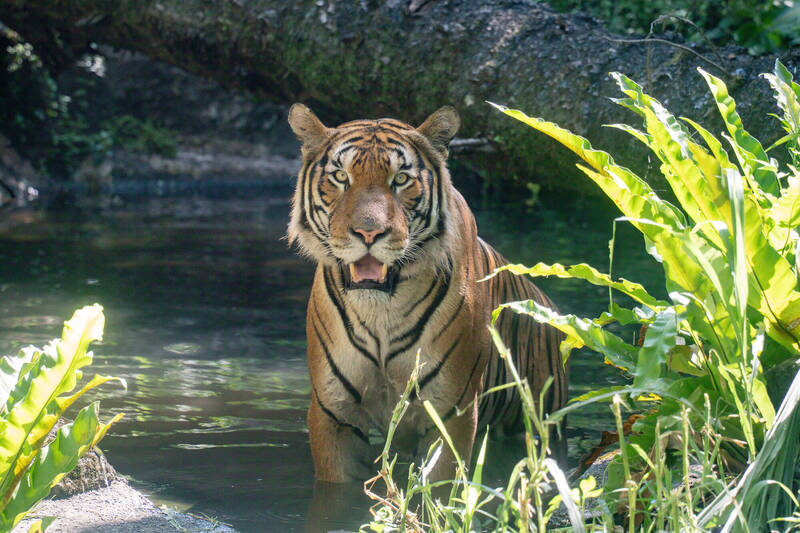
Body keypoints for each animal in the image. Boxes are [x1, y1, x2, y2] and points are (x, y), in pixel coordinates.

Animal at [287, 104, 568, 483]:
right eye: (341, 177)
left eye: (400, 179)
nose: (368, 232)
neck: (380, 310)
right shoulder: (334, 412)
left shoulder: (450, 412)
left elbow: (439, 485)